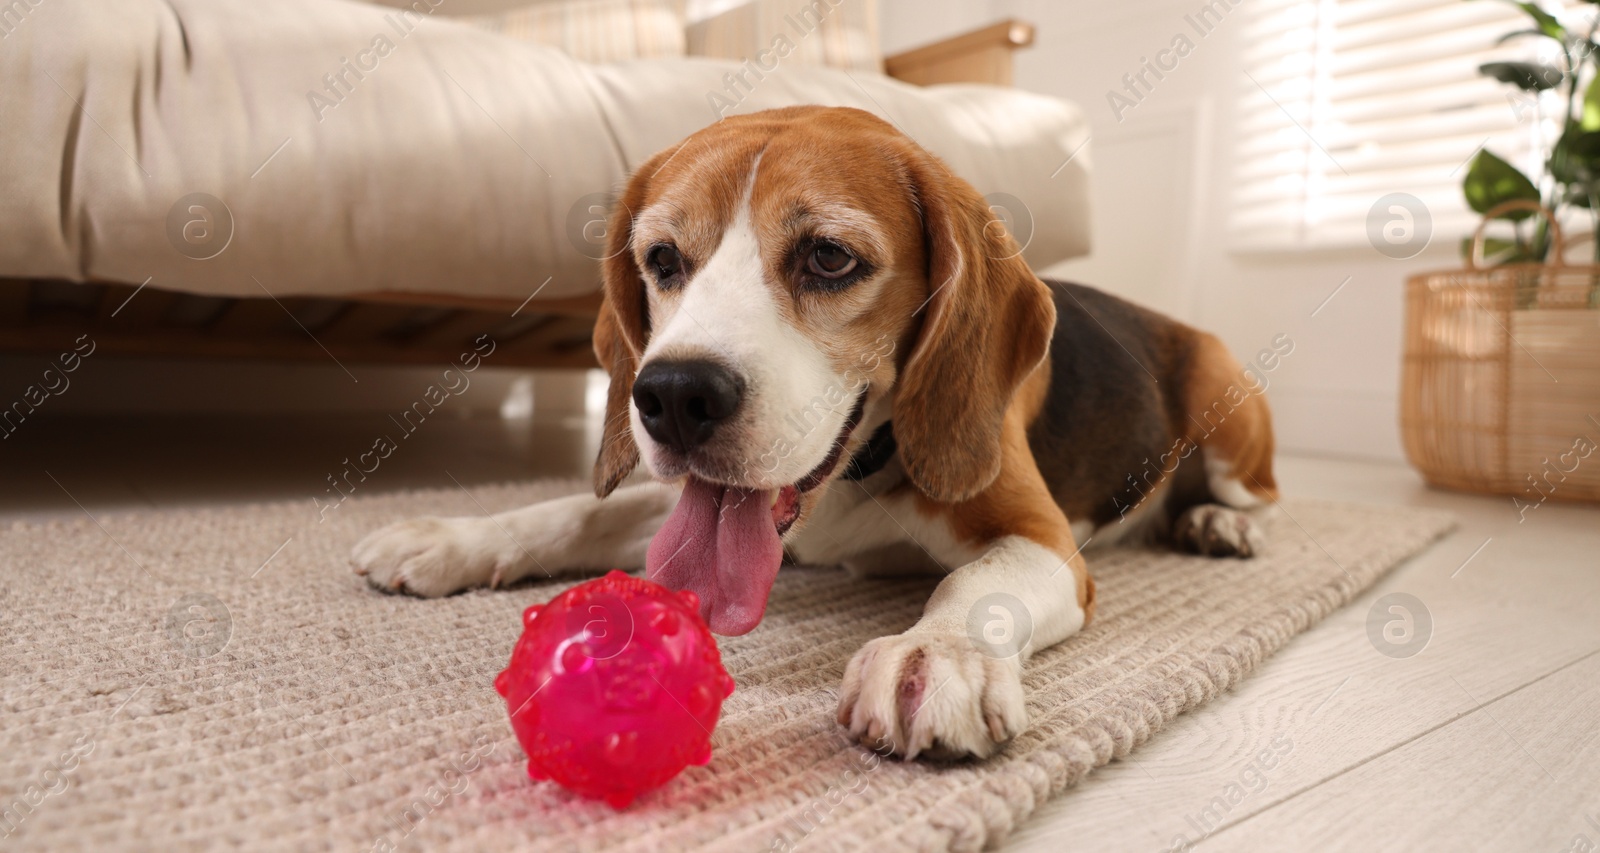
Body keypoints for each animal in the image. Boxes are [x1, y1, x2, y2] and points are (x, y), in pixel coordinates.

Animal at [350, 104, 1273, 758]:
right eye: (661, 261)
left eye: (829, 257)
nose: (672, 394)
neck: (855, 480)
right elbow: (571, 511)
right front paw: (453, 536)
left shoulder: (1041, 537)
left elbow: (975, 586)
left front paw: (933, 657)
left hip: (1230, 401)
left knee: (1257, 493)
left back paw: (1218, 522)